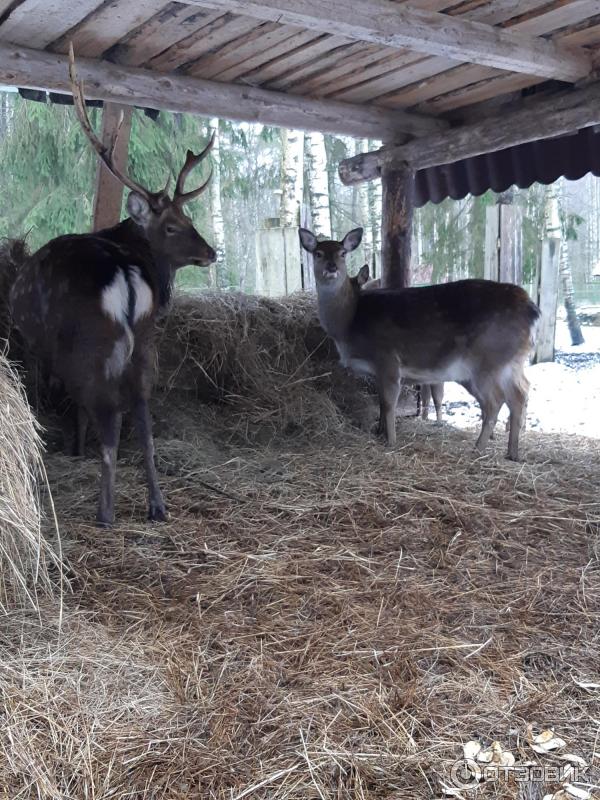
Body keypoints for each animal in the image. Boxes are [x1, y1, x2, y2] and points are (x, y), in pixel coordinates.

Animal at [9, 48, 216, 524]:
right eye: (176, 225)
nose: (212, 252)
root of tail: (125, 276)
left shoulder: (42, 350)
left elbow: (70, 409)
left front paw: (74, 449)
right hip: (142, 346)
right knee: (142, 420)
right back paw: (157, 505)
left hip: (94, 347)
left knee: (110, 420)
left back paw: (106, 511)